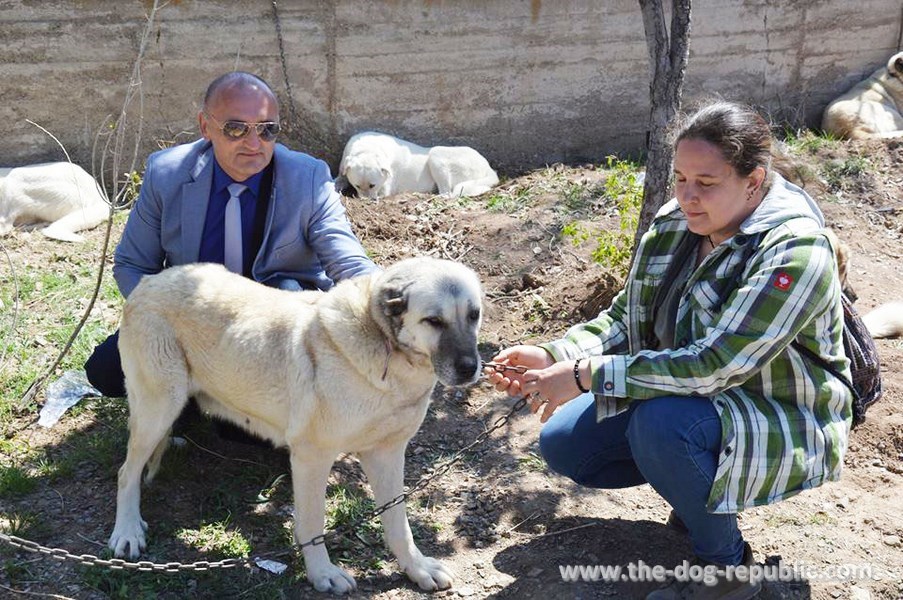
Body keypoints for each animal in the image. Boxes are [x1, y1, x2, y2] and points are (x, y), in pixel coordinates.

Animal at [108, 258, 484, 596]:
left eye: (473, 315)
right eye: (433, 321)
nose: (470, 368)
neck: (383, 348)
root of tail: (149, 282)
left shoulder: (387, 454)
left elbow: (399, 524)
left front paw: (416, 568)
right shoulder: (311, 458)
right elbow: (313, 523)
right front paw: (322, 574)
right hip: (158, 410)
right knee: (126, 473)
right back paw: (127, 531)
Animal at [338, 131, 498, 199]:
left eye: (372, 185)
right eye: (357, 186)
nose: (366, 201)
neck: (368, 149)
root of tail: (488, 167)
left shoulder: (385, 188)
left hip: (436, 154)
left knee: (448, 194)